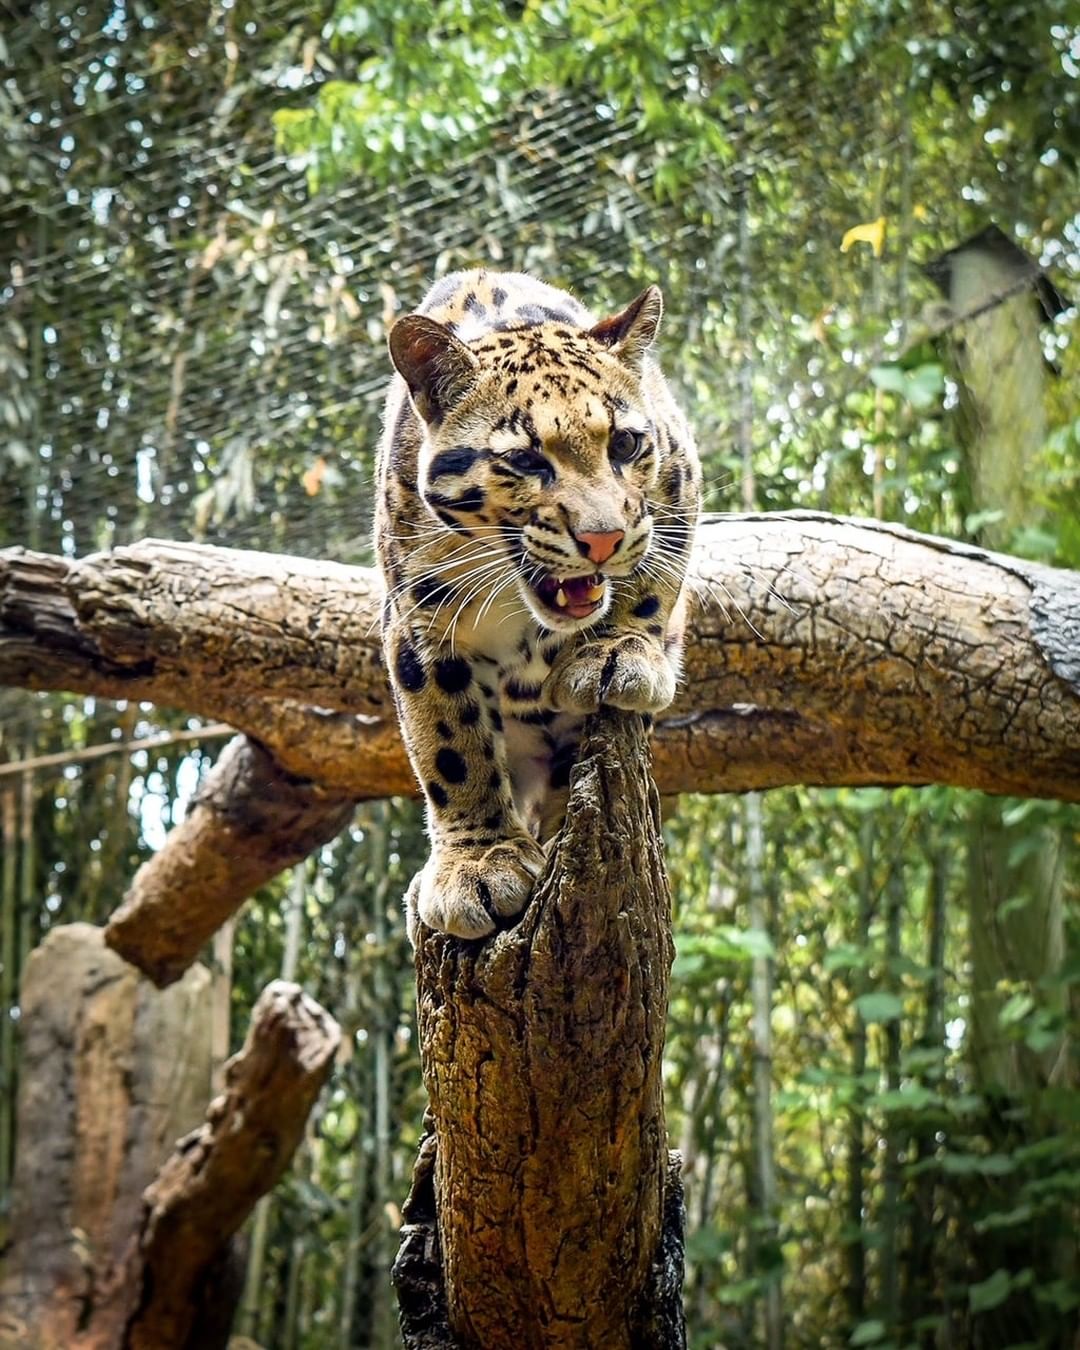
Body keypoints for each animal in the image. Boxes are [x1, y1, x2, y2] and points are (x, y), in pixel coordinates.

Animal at [378, 267, 702, 934]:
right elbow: (449, 743)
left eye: (625, 446)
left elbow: (653, 586)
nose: (603, 538)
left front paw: (618, 653)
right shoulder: (418, 620)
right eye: (525, 459)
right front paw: (478, 864)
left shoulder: (679, 485)